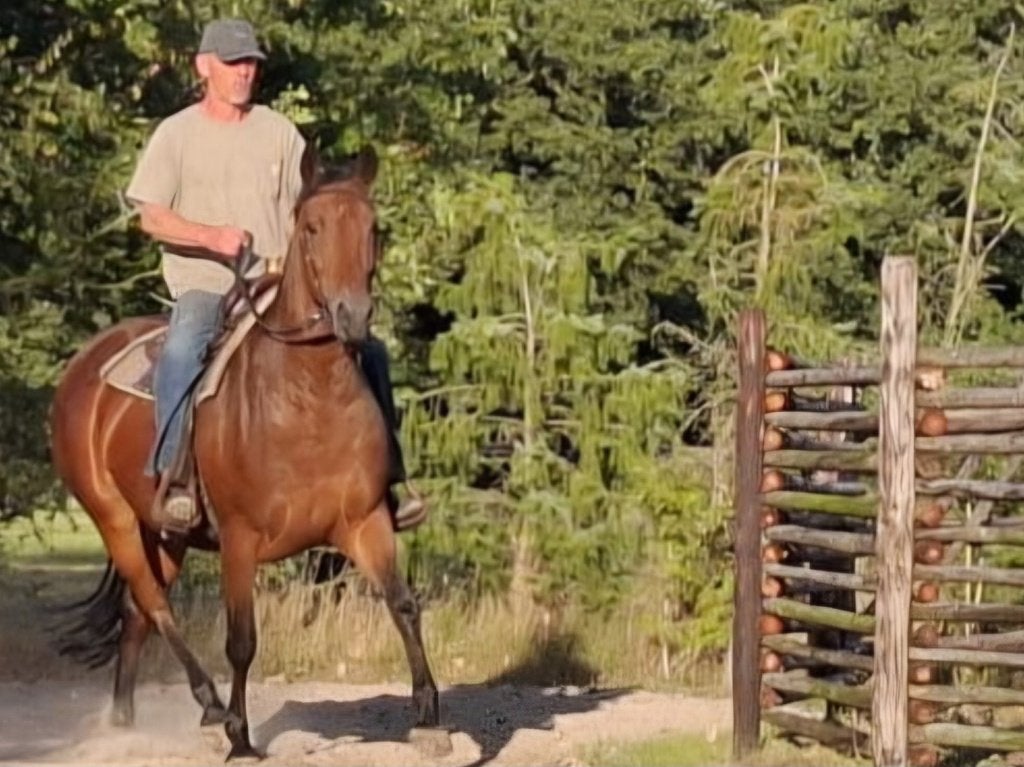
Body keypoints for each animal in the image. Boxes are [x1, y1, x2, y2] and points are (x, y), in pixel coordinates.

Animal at [48, 145, 439, 759]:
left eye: (374, 228)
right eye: (311, 226)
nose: (351, 316)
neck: (307, 398)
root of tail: (85, 364)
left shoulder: (365, 521)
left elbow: (402, 603)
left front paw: (427, 717)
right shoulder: (239, 537)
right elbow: (241, 641)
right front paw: (241, 737)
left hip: (166, 532)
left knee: (136, 611)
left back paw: (124, 720)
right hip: (113, 518)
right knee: (154, 604)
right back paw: (209, 708)